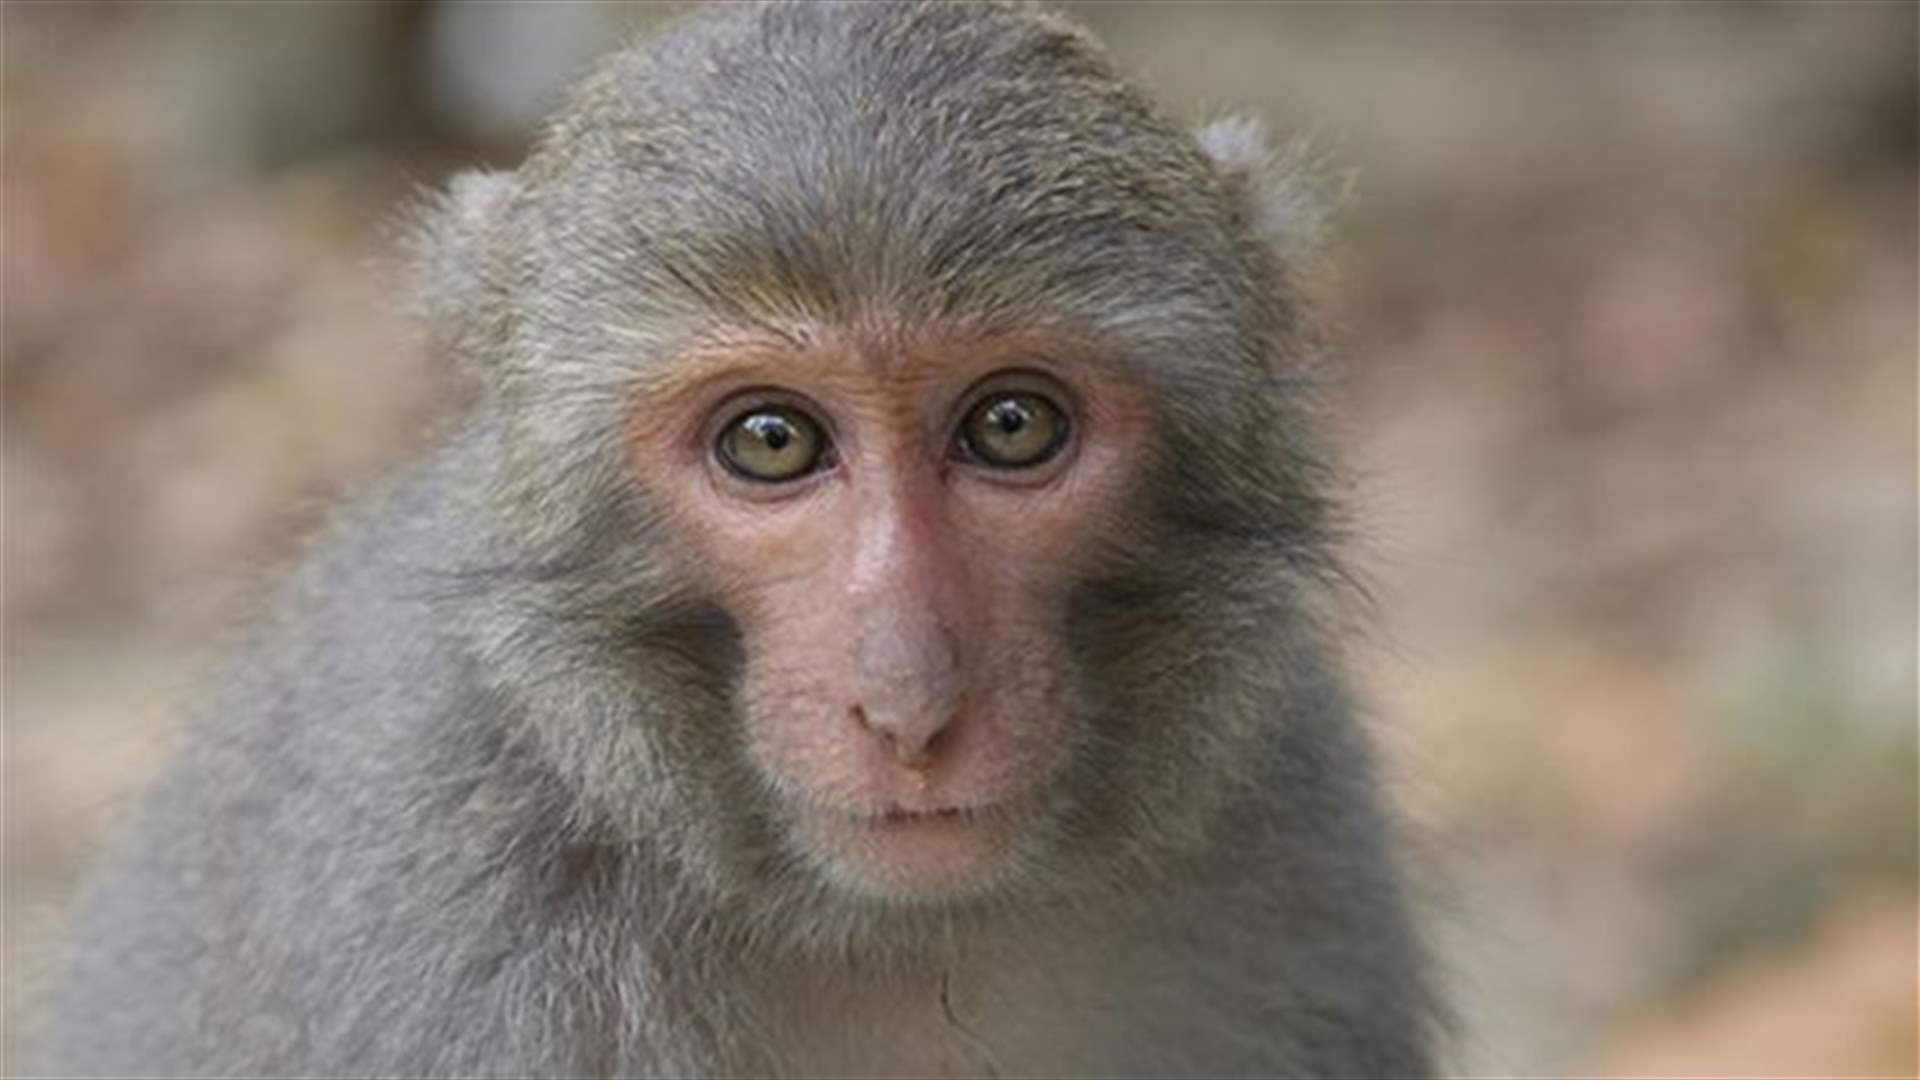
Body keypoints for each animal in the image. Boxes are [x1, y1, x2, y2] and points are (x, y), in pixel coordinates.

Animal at [44, 3, 1441, 1077]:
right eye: (771, 441)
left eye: (1010, 425)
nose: (909, 704)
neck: (890, 933)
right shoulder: (443, 899)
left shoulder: (1304, 850)